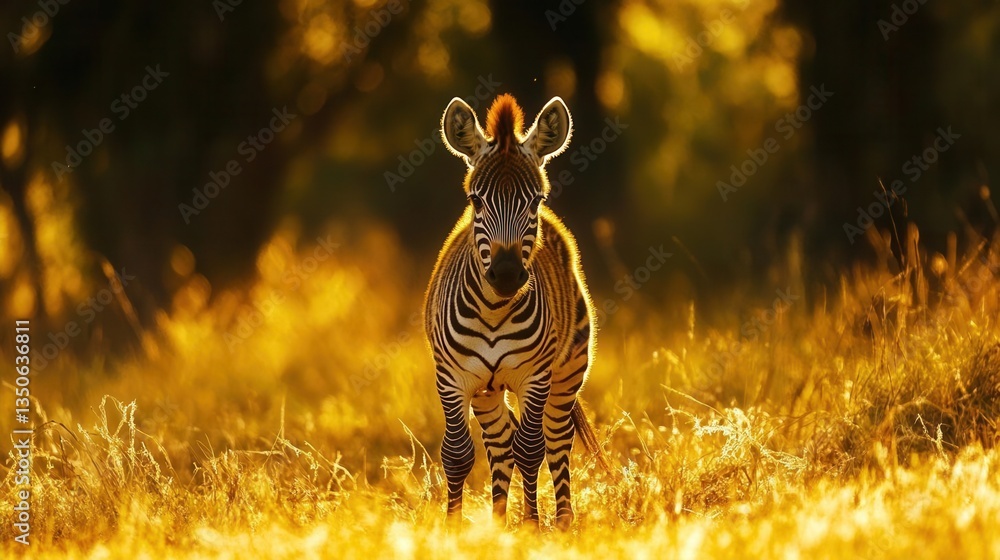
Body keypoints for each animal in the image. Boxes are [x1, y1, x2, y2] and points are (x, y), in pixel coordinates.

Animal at [424, 93, 605, 530]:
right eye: (475, 200)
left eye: (536, 199)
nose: (506, 275)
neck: (494, 310)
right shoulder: (451, 379)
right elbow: (458, 455)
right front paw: (453, 528)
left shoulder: (535, 377)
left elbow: (531, 450)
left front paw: (531, 527)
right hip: (487, 392)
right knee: (501, 442)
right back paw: (497, 519)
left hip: (567, 372)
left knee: (555, 440)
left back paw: (562, 521)